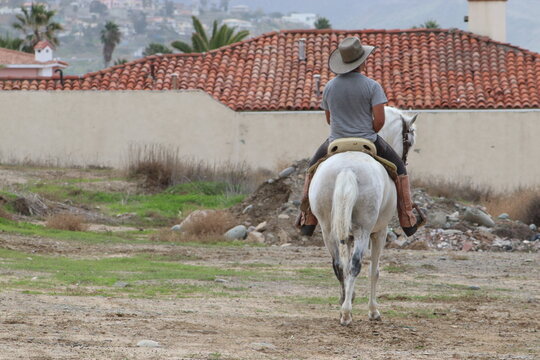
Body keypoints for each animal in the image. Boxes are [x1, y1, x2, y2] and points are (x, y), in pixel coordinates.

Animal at [308, 107, 418, 326]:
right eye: (409, 141)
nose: (405, 160)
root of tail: (347, 169)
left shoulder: (347, 234)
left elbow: (345, 264)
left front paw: (348, 297)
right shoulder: (379, 233)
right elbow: (373, 271)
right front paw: (373, 311)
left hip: (327, 229)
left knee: (339, 265)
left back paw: (344, 307)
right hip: (364, 230)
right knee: (357, 264)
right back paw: (347, 314)